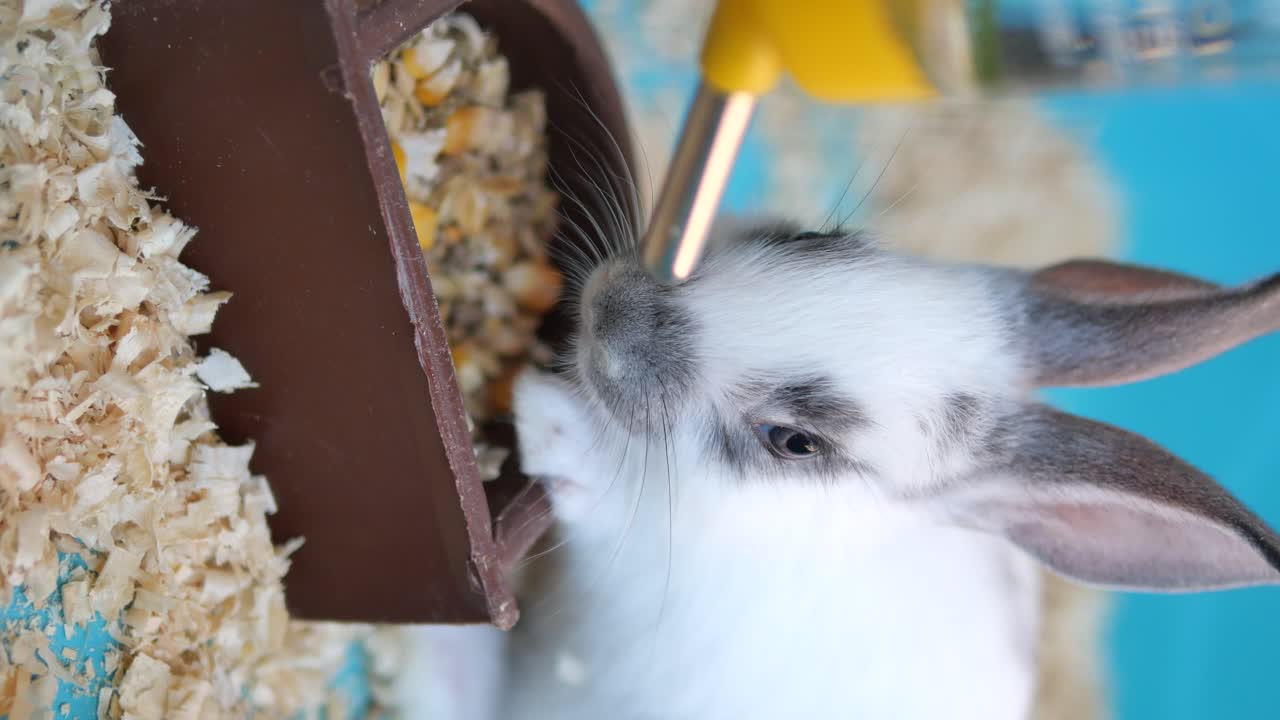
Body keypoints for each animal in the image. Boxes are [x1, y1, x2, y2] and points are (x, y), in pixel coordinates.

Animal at [396, 216, 1280, 720]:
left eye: (795, 443)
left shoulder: (632, 520)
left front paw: (541, 409)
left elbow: (591, 475)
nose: (611, 309)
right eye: (815, 239)